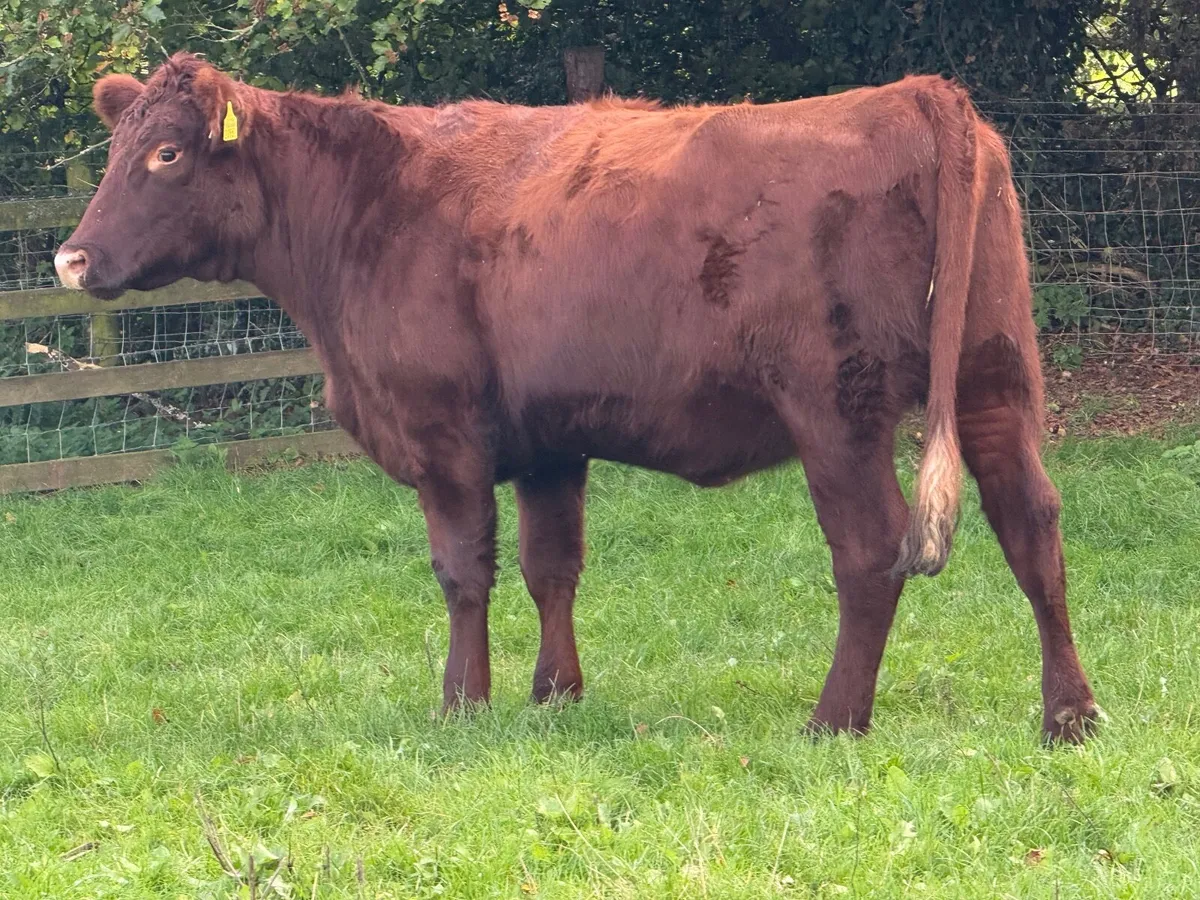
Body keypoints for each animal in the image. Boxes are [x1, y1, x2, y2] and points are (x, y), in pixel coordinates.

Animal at [55, 53, 1098, 742]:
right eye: (116, 149)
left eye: (168, 156)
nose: (71, 258)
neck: (364, 209)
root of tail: (919, 93)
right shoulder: (550, 438)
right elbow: (550, 566)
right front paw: (555, 693)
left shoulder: (443, 432)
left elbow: (462, 570)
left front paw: (461, 704)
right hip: (996, 378)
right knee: (1033, 526)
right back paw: (1070, 714)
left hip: (837, 410)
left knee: (874, 551)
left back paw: (834, 719)